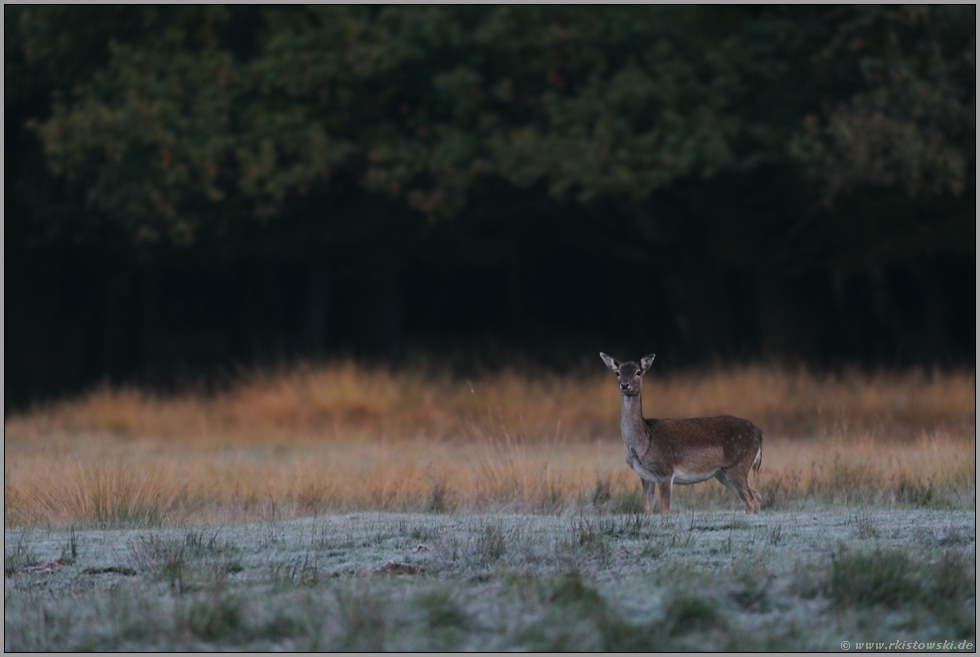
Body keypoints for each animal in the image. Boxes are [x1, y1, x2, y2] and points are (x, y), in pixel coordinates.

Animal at [596, 354, 764, 512]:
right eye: (618, 372)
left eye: (638, 372)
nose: (625, 385)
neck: (643, 443)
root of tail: (760, 433)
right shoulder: (644, 476)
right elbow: (647, 509)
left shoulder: (665, 471)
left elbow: (664, 510)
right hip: (722, 473)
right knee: (757, 496)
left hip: (738, 465)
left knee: (750, 499)